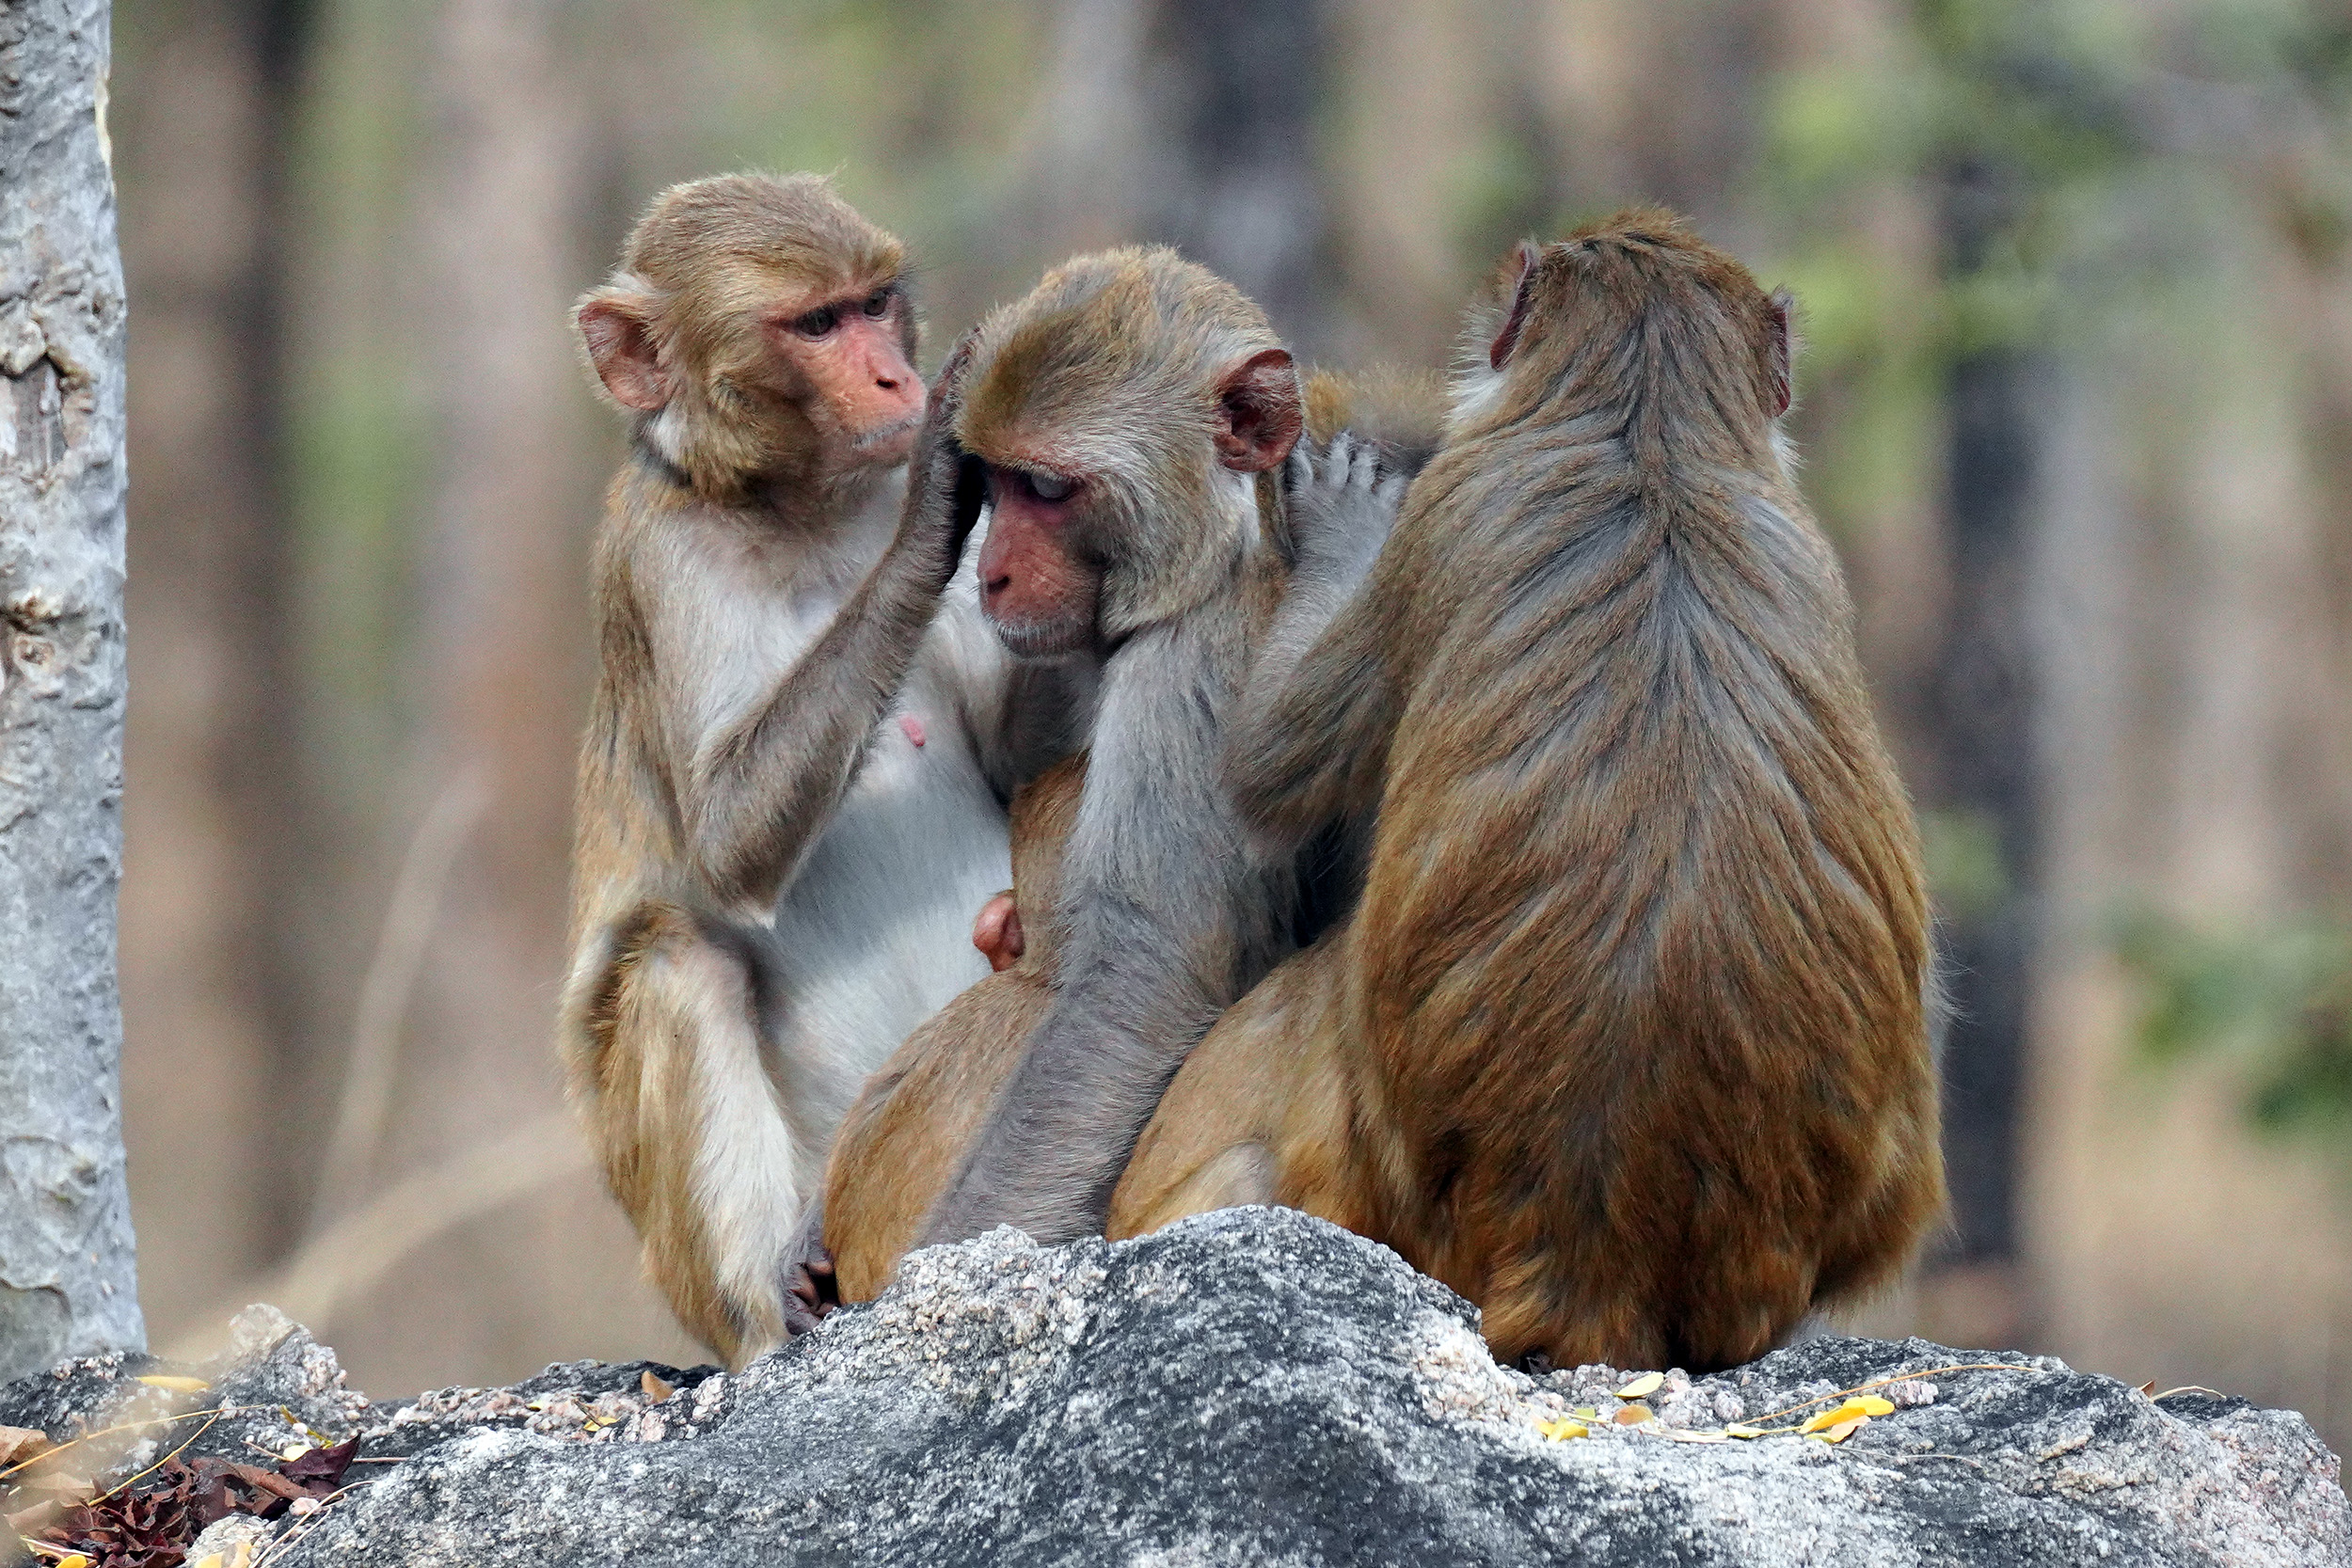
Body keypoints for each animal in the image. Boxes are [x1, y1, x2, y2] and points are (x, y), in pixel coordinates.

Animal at [557, 173, 1082, 1368]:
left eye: (874, 303)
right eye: (814, 326)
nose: (891, 376)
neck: (800, 514)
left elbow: (1032, 766)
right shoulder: (658, 565)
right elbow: (725, 843)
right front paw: (937, 480)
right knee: (672, 962)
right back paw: (781, 1307)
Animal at [1107, 210, 1946, 1372]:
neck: (1651, 429)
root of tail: (1590, 1269)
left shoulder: (1448, 509)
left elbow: (1267, 767)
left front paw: (1346, 527)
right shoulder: (1806, 542)